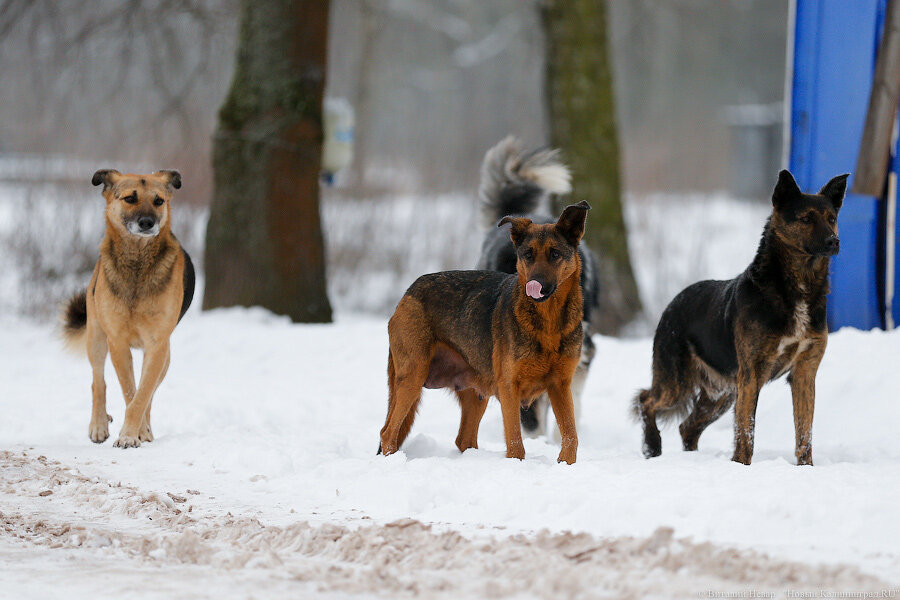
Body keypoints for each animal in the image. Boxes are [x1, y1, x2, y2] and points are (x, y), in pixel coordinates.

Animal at [62, 168, 195, 446]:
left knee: (150, 393)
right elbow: (129, 390)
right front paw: (130, 432)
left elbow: (142, 395)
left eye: (158, 201)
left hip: (165, 358)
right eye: (130, 198)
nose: (147, 223)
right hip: (96, 338)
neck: (137, 263)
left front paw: (133, 434)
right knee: (97, 382)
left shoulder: (156, 346)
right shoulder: (117, 342)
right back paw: (99, 424)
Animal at [374, 202, 592, 464]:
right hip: (413, 378)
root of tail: (408, 292)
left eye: (555, 254)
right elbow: (515, 443)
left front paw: (566, 465)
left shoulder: (560, 386)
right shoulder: (510, 388)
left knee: (463, 439)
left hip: (475, 393)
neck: (548, 323)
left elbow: (571, 435)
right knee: (388, 432)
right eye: (528, 255)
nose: (535, 284)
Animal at [632, 169, 844, 464]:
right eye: (806, 219)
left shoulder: (804, 372)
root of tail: (674, 302)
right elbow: (747, 431)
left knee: (687, 427)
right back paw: (652, 447)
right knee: (646, 399)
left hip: (722, 394)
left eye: (831, 219)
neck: (794, 287)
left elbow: (805, 432)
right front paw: (741, 465)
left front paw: (807, 468)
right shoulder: (751, 374)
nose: (833, 242)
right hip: (678, 382)